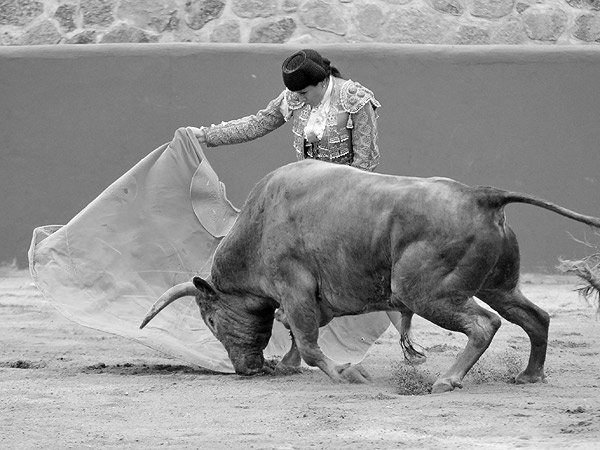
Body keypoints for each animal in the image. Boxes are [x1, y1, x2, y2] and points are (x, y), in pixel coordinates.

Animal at [139, 160, 600, 392]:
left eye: (211, 319)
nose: (247, 370)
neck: (258, 226)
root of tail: (480, 196)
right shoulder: (310, 300)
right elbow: (300, 336)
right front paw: (288, 366)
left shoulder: (295, 287)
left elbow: (308, 341)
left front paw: (345, 374)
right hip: (498, 285)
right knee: (535, 317)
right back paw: (529, 375)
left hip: (426, 292)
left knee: (485, 324)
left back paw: (447, 380)